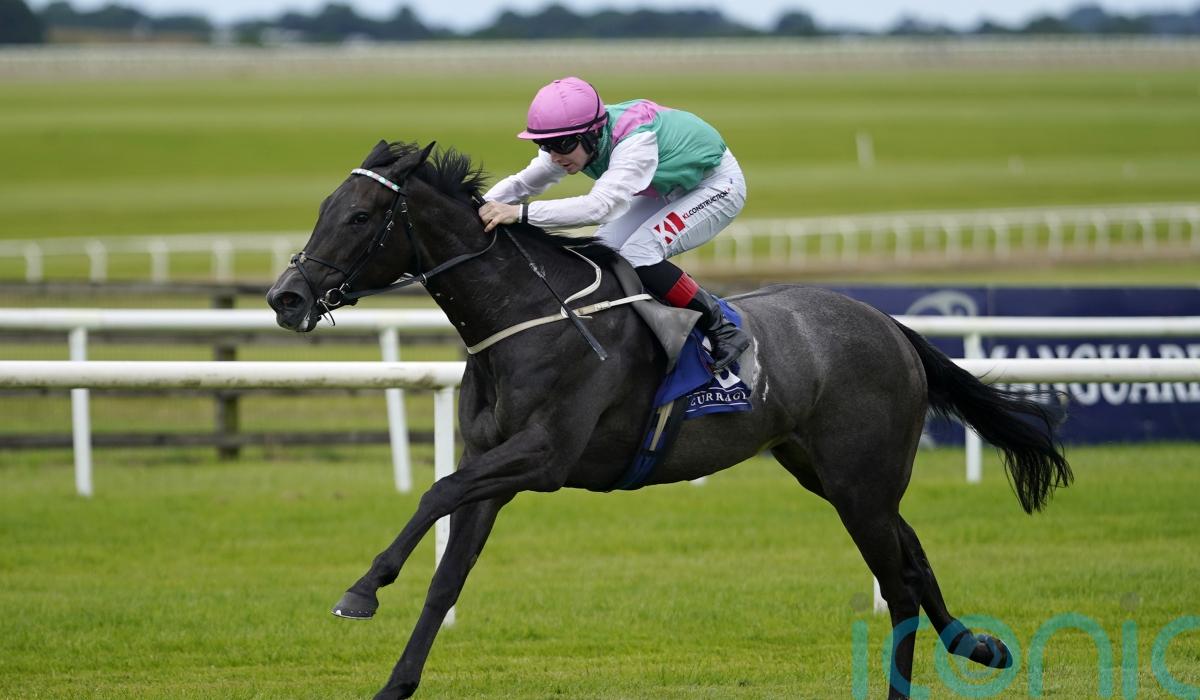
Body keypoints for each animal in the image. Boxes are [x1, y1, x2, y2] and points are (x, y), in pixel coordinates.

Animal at [266, 140, 1072, 700]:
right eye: (324, 208)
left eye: (360, 216)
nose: (286, 297)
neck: (525, 319)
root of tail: (891, 326)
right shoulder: (492, 472)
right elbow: (448, 576)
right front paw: (395, 678)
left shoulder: (544, 458)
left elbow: (434, 491)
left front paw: (362, 590)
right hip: (836, 474)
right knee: (914, 556)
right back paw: (976, 644)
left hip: (858, 479)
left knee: (898, 584)